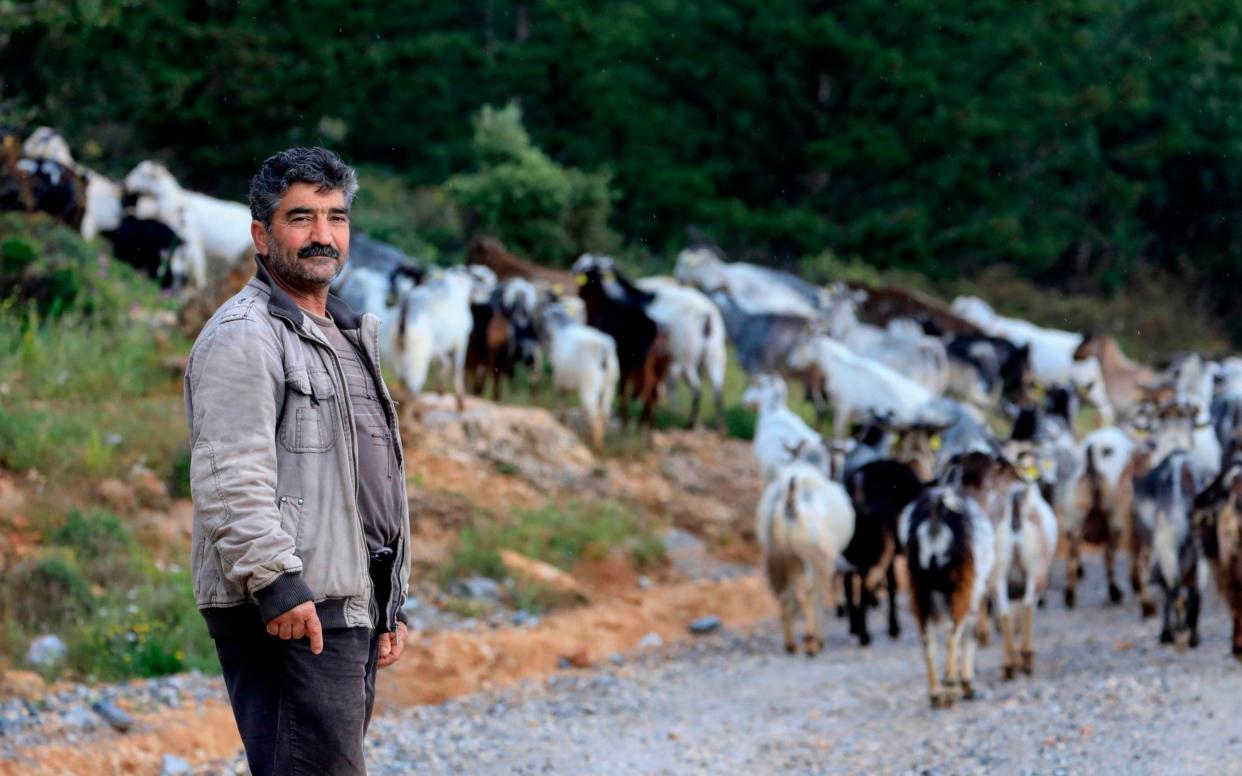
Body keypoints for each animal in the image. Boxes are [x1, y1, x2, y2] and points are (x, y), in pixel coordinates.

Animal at [755, 459, 854, 655]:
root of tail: (790, 501)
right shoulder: (822, 560)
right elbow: (819, 594)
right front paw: (818, 639)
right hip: (808, 556)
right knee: (809, 593)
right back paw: (810, 643)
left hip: (780, 556)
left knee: (785, 595)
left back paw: (791, 644)